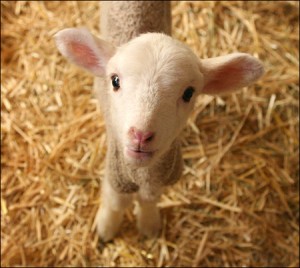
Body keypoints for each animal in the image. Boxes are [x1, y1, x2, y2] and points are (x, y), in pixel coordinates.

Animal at [55, 1, 264, 243]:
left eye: (189, 93)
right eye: (115, 80)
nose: (140, 135)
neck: (142, 174)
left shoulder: (160, 178)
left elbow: (149, 200)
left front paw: (148, 225)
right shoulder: (116, 174)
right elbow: (116, 202)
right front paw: (106, 228)